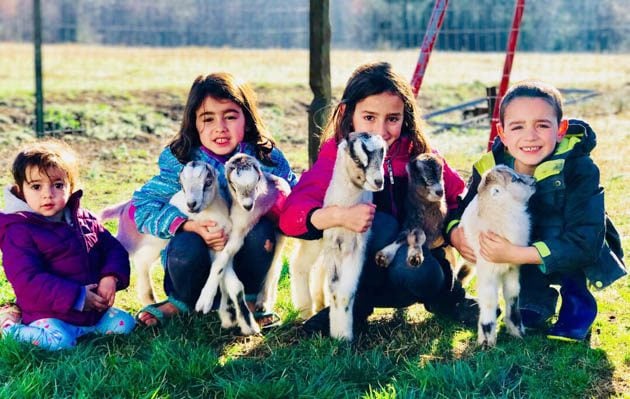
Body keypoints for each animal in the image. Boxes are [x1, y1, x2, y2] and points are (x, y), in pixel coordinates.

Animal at [100, 161, 232, 308]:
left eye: (208, 182)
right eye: (182, 185)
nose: (191, 204)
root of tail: (125, 207)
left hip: (155, 245)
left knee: (142, 261)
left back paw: (150, 300)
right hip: (130, 240)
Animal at [196, 155, 290, 336]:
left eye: (257, 181)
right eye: (233, 184)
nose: (248, 205)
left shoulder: (242, 225)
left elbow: (222, 260)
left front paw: (205, 299)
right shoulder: (231, 226)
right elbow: (222, 261)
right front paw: (226, 312)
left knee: (274, 267)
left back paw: (263, 301)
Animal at [460, 165, 540, 346]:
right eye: (515, 179)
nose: (534, 180)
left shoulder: (512, 268)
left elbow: (513, 295)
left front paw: (517, 331)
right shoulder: (487, 272)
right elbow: (489, 301)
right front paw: (487, 341)